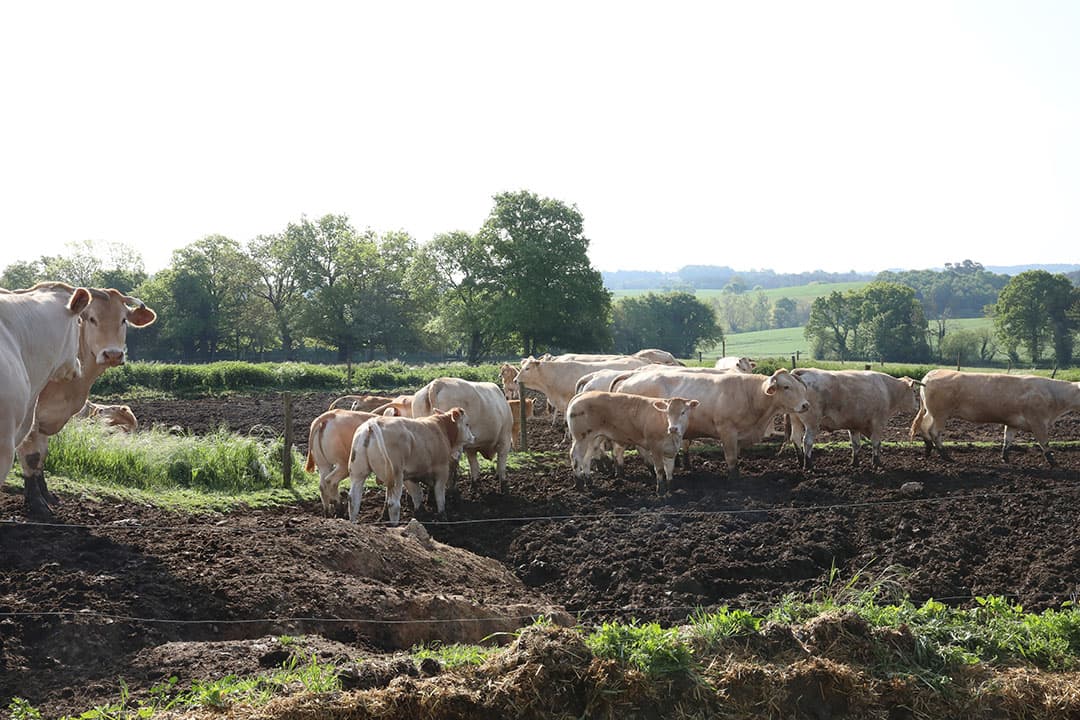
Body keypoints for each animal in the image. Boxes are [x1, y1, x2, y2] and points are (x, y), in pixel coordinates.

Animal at [15, 286, 156, 515]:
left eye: (123, 320)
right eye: (91, 318)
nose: (113, 354)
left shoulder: (45, 417)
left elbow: (42, 455)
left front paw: (46, 495)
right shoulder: (30, 416)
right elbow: (31, 457)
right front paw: (37, 503)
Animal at [566, 390, 698, 494]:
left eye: (683, 412)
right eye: (667, 412)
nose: (673, 428)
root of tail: (582, 394)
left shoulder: (671, 450)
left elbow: (669, 470)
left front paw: (671, 489)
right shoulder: (655, 448)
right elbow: (660, 469)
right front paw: (660, 491)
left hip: (595, 438)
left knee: (587, 458)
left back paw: (589, 481)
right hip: (581, 437)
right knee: (576, 457)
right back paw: (579, 484)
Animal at [612, 367, 810, 478]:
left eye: (801, 387)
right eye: (786, 387)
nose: (806, 405)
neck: (750, 395)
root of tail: (629, 378)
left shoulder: (739, 436)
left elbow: (736, 456)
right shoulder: (727, 431)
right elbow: (731, 459)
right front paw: (734, 479)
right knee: (619, 449)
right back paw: (621, 473)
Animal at [782, 369, 921, 470]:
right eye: (914, 391)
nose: (917, 406)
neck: (887, 390)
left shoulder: (854, 425)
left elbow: (856, 445)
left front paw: (855, 463)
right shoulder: (878, 423)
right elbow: (876, 443)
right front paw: (877, 463)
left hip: (796, 421)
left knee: (796, 439)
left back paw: (801, 462)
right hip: (812, 423)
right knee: (807, 442)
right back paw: (808, 465)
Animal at [910, 369, 1080, 466]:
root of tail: (930, 374)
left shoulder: (1013, 423)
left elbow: (1007, 440)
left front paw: (1005, 458)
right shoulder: (1038, 422)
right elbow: (1044, 442)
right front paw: (1053, 462)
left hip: (931, 413)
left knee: (923, 427)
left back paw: (928, 450)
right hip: (940, 414)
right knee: (934, 432)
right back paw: (946, 456)